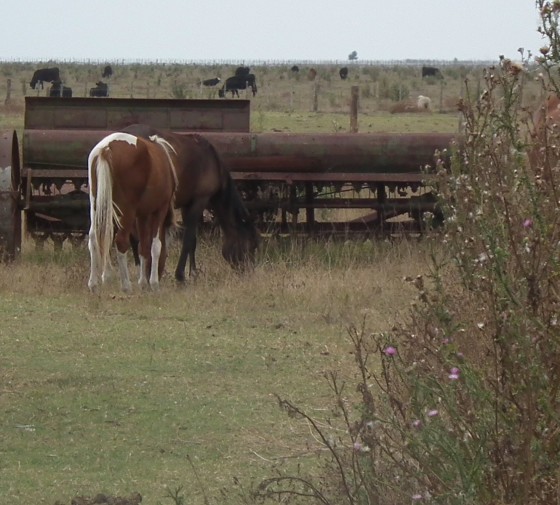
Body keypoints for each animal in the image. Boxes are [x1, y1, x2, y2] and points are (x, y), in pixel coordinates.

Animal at [87, 132, 177, 294]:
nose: (160, 275)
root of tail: (106, 148)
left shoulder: (142, 215)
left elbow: (143, 246)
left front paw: (143, 282)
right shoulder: (159, 210)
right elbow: (155, 246)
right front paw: (153, 284)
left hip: (98, 206)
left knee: (93, 238)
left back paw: (93, 284)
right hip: (126, 212)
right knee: (121, 241)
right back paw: (126, 286)